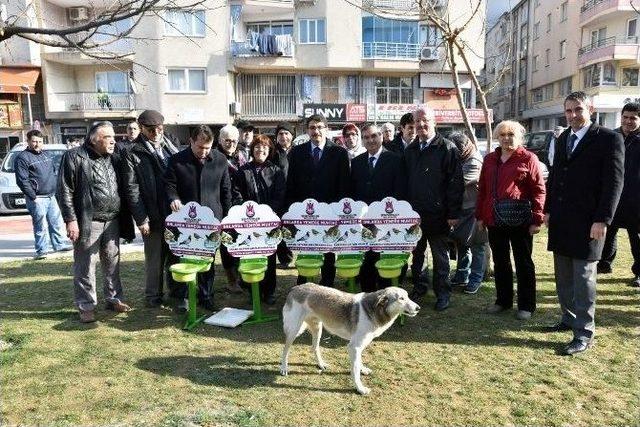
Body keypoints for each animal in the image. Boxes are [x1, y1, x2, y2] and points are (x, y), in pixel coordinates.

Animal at [280, 282, 420, 396]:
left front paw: (363, 370)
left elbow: (359, 362)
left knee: (314, 347)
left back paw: (320, 364)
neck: (375, 310)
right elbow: (355, 369)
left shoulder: (359, 346)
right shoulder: (354, 347)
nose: (418, 308)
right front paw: (360, 388)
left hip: (318, 329)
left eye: (408, 296)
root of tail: (295, 288)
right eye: (401, 299)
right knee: (285, 350)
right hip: (294, 330)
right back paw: (284, 368)